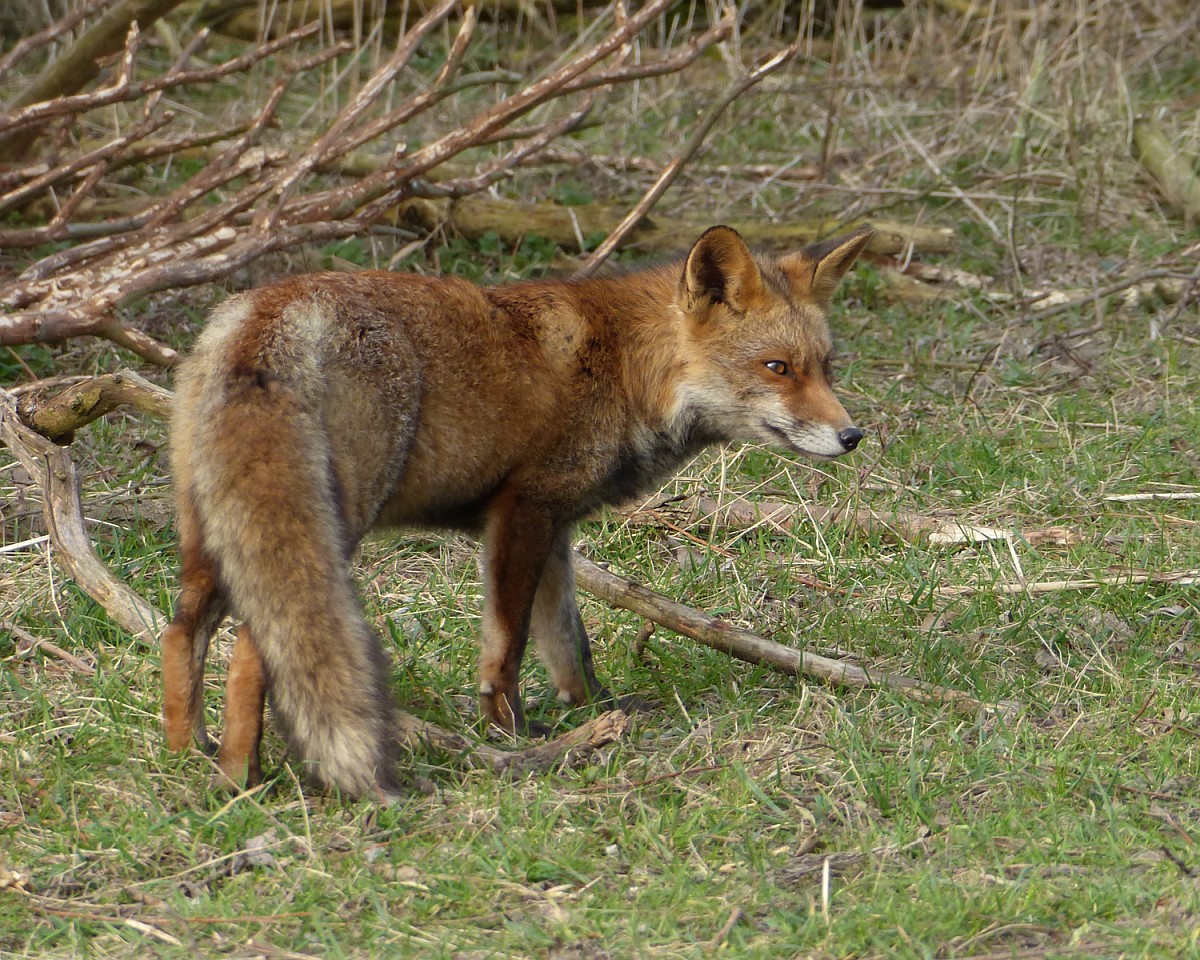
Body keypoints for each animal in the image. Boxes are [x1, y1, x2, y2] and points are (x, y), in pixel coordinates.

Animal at [160, 223, 872, 799]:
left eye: (826, 368)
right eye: (777, 368)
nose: (852, 436)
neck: (627, 368)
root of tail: (271, 308)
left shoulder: (557, 525)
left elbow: (568, 642)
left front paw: (596, 711)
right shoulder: (522, 512)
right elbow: (509, 645)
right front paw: (512, 731)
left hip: (212, 534)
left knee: (183, 630)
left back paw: (189, 756)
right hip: (336, 521)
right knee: (252, 649)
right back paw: (243, 778)